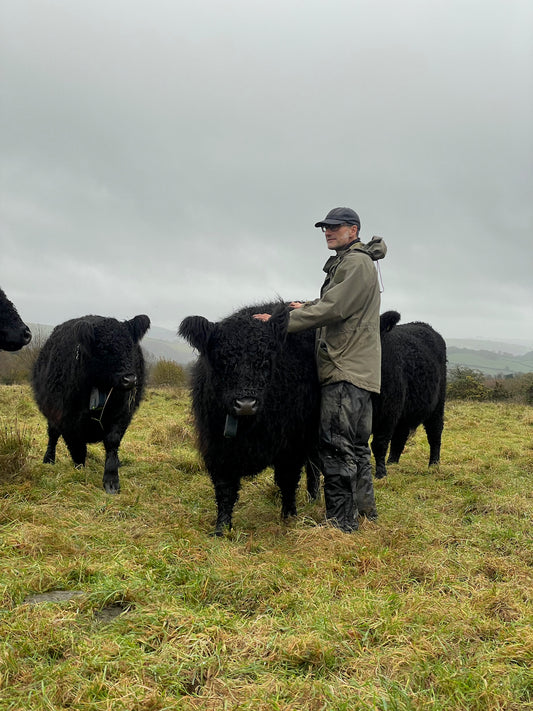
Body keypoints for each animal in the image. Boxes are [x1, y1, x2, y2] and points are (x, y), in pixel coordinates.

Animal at [32, 316, 150, 496]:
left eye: (130, 347)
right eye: (104, 349)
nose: (130, 379)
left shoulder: (122, 414)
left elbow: (112, 442)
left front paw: (111, 481)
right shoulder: (67, 419)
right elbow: (78, 448)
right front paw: (80, 473)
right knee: (52, 435)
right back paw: (48, 459)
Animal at [179, 304, 320, 536]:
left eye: (265, 361)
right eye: (222, 360)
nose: (245, 404)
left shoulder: (291, 446)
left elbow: (288, 481)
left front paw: (289, 517)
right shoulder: (218, 447)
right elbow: (225, 489)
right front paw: (221, 528)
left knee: (314, 466)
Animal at [372, 312, 446, 478]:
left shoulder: (388, 410)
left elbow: (379, 443)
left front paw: (380, 474)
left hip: (437, 405)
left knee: (435, 433)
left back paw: (434, 464)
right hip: (405, 411)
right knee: (400, 437)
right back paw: (392, 463)